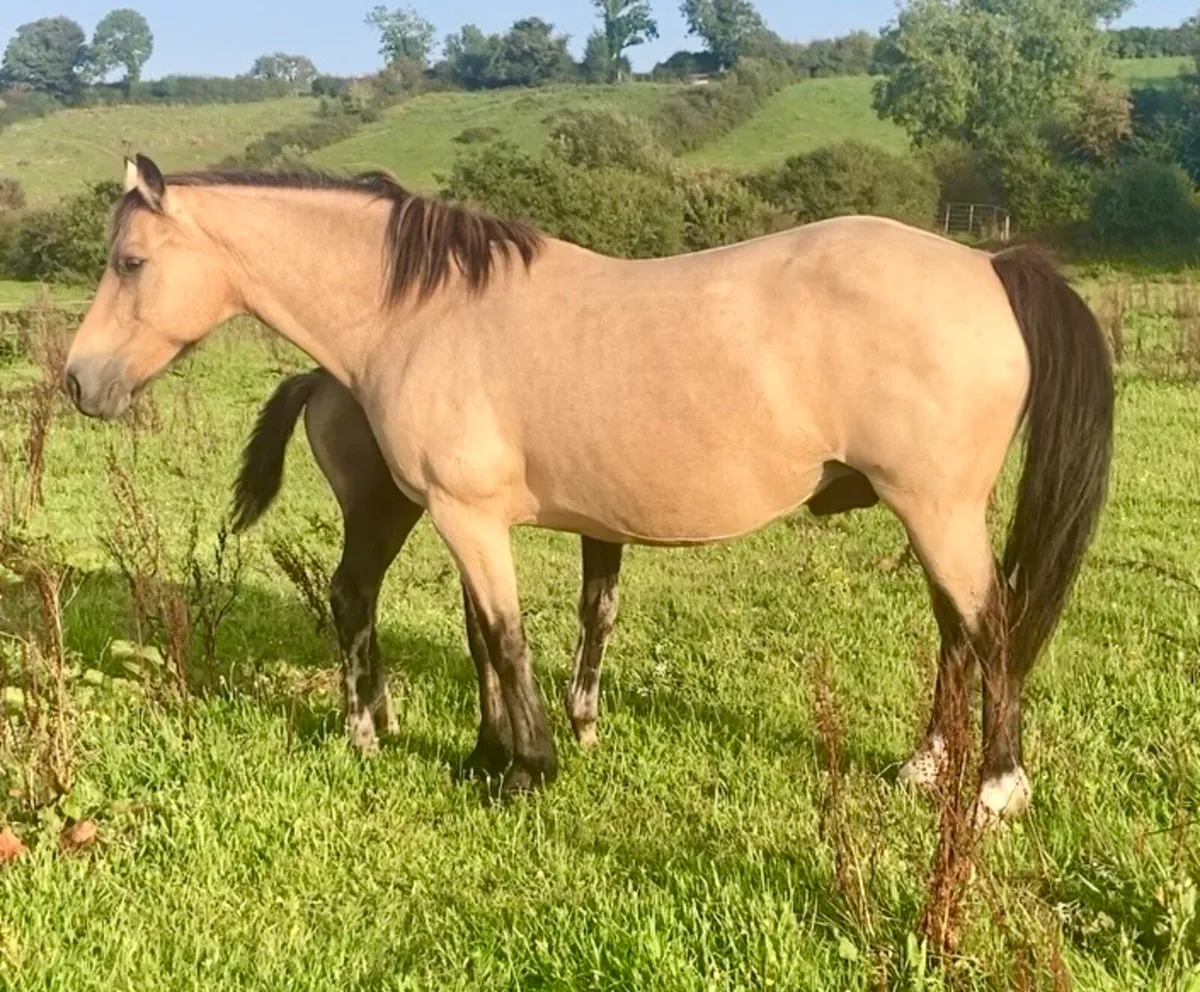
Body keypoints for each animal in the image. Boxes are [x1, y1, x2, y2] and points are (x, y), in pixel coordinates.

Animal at [230, 367, 623, 767]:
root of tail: (319, 377)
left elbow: (595, 609)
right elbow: (598, 611)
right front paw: (583, 724)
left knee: (365, 597)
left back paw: (385, 719)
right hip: (385, 508)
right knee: (351, 592)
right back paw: (365, 738)